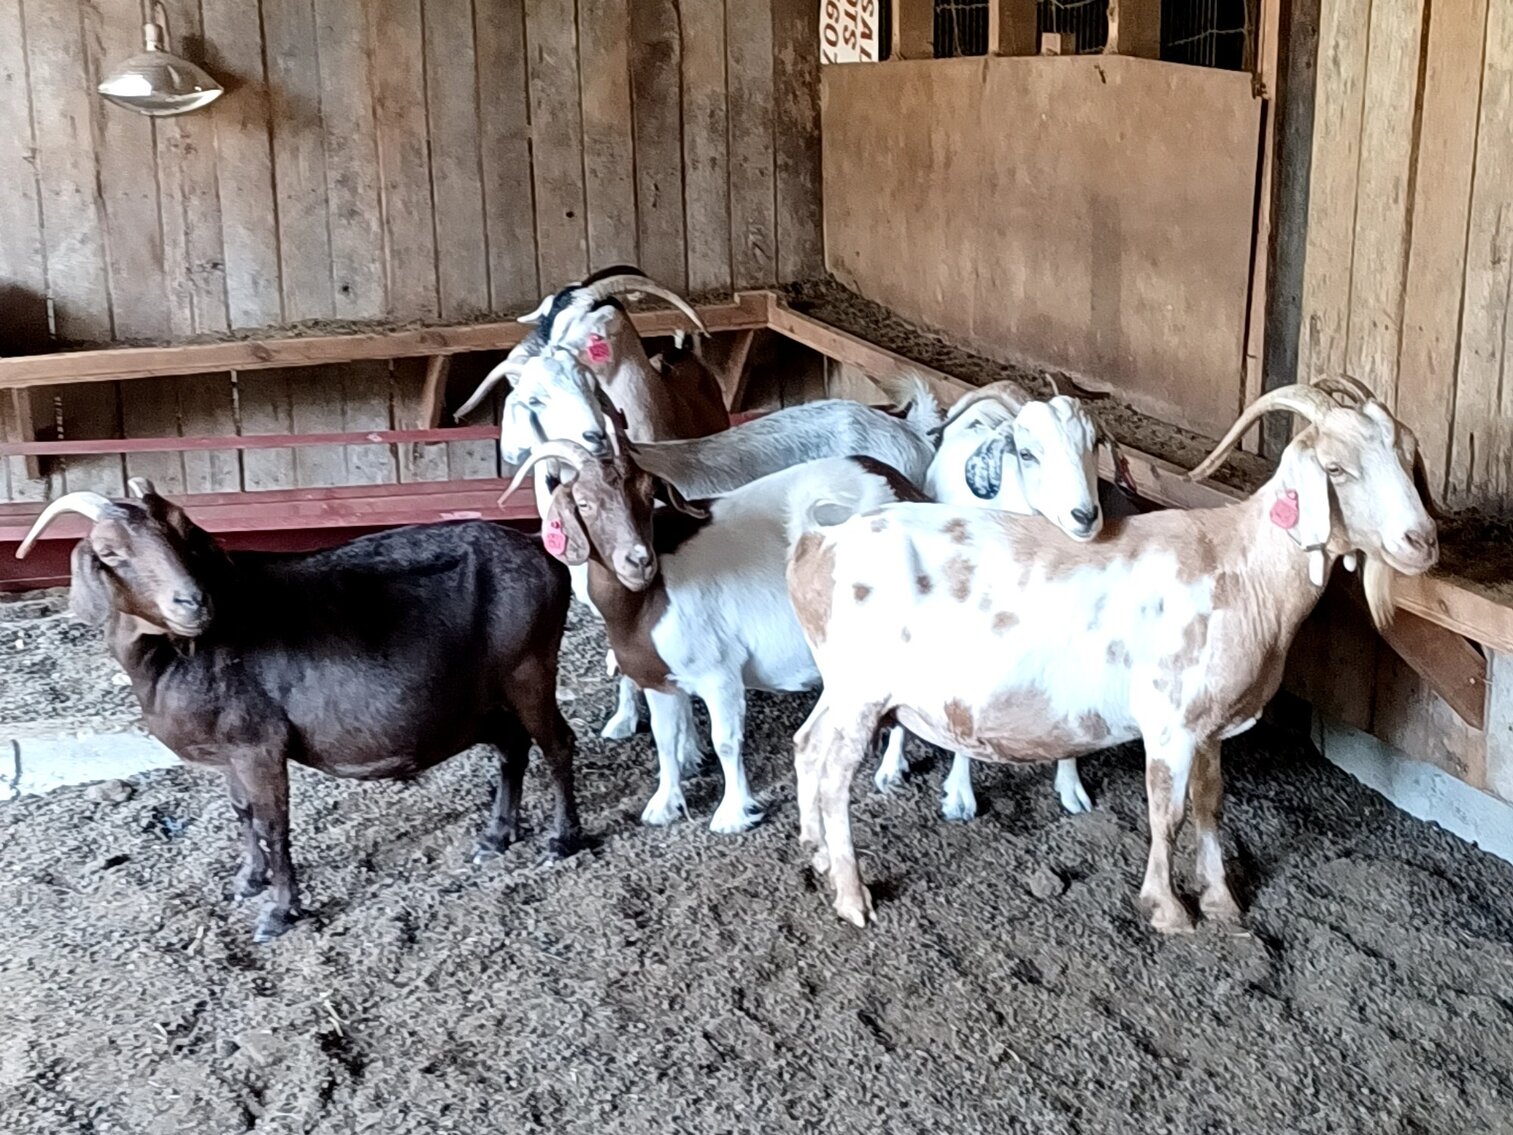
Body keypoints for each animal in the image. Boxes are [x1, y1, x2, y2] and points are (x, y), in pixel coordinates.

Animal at [16, 481, 582, 943]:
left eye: (182, 533)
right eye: (110, 552)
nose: (192, 602)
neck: (178, 654)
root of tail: (546, 559)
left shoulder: (259, 744)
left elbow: (273, 824)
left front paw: (278, 913)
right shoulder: (229, 750)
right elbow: (241, 812)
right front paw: (247, 881)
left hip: (530, 667)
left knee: (556, 743)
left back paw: (562, 839)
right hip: (487, 693)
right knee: (512, 746)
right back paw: (494, 837)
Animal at [504, 439, 925, 834]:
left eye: (647, 496)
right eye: (585, 503)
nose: (638, 560)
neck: (647, 601)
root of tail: (909, 490)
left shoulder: (719, 674)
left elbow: (725, 741)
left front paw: (734, 813)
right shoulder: (658, 680)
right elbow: (663, 739)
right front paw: (664, 805)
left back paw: (891, 770)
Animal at [786, 382, 1437, 931]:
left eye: (1407, 455)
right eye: (1335, 468)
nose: (1422, 541)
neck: (1242, 566)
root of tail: (817, 545)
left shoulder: (1209, 727)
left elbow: (1210, 807)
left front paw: (1222, 901)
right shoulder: (1170, 723)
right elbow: (1167, 815)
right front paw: (1168, 909)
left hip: (841, 688)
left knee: (807, 746)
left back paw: (815, 854)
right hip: (862, 692)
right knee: (834, 775)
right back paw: (852, 896)